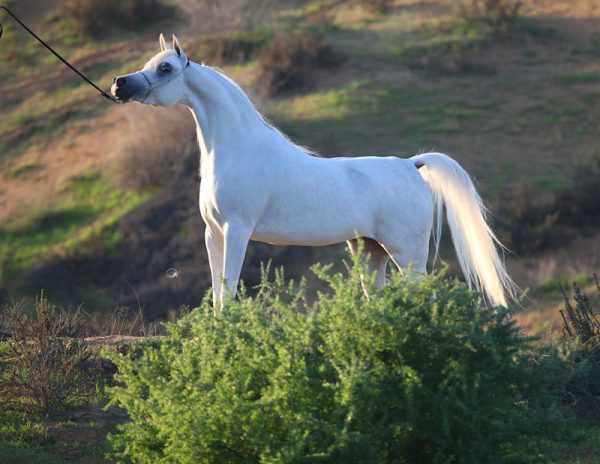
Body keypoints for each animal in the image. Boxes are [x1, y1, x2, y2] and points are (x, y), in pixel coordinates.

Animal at [111, 35, 516, 312]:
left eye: (166, 68)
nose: (120, 84)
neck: (238, 148)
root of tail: (409, 164)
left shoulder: (237, 230)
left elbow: (229, 289)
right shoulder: (214, 234)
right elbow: (217, 294)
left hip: (407, 252)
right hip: (371, 251)